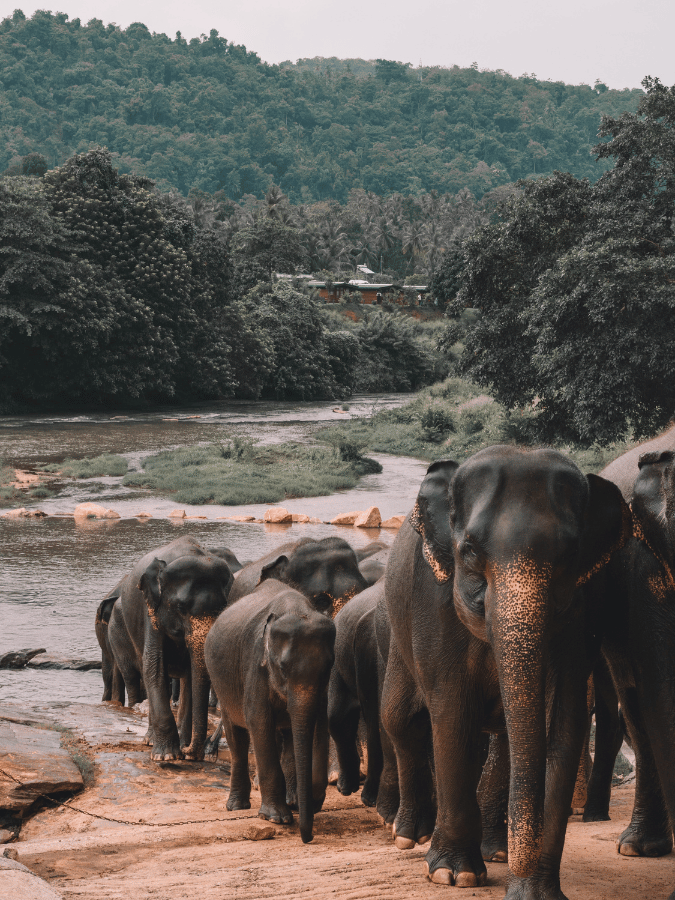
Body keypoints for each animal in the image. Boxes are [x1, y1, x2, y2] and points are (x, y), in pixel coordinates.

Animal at [116, 535, 233, 761]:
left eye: (222, 608)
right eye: (181, 608)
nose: (190, 752)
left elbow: (191, 674)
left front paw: (182, 750)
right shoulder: (151, 611)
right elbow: (154, 666)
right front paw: (167, 756)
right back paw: (151, 740)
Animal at [204, 579, 336, 844]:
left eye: (328, 667)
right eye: (283, 668)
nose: (307, 838)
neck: (296, 609)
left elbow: (316, 724)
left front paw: (306, 803)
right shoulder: (256, 664)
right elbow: (259, 722)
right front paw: (276, 818)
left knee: (286, 736)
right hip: (222, 683)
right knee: (237, 736)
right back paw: (237, 806)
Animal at [381, 446, 630, 897]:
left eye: (569, 557)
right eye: (470, 551)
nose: (520, 859)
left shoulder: (583, 611)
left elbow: (563, 725)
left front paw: (536, 890)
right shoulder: (433, 601)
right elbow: (452, 716)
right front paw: (454, 875)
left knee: (504, 741)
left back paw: (495, 850)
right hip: (398, 624)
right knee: (401, 718)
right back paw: (409, 835)